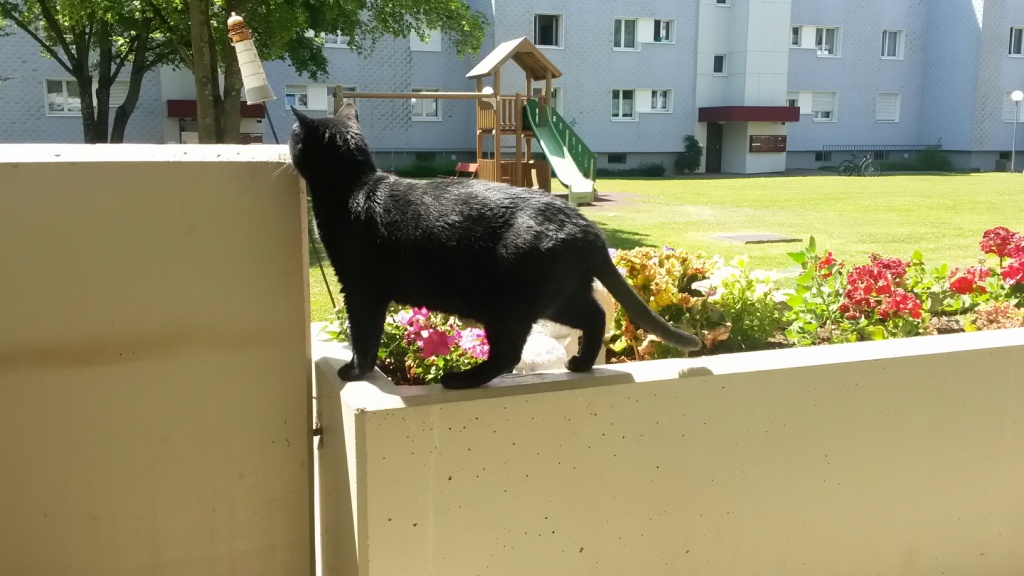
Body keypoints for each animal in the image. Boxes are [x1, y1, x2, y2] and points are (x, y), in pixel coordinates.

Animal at [288, 105, 704, 387]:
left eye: (294, 135)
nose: (288, 138)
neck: (353, 187)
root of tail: (588, 228)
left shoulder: (362, 289)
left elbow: (363, 334)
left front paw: (356, 371)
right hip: (559, 297)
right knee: (595, 316)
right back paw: (581, 364)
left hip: (508, 305)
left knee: (508, 355)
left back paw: (460, 379)